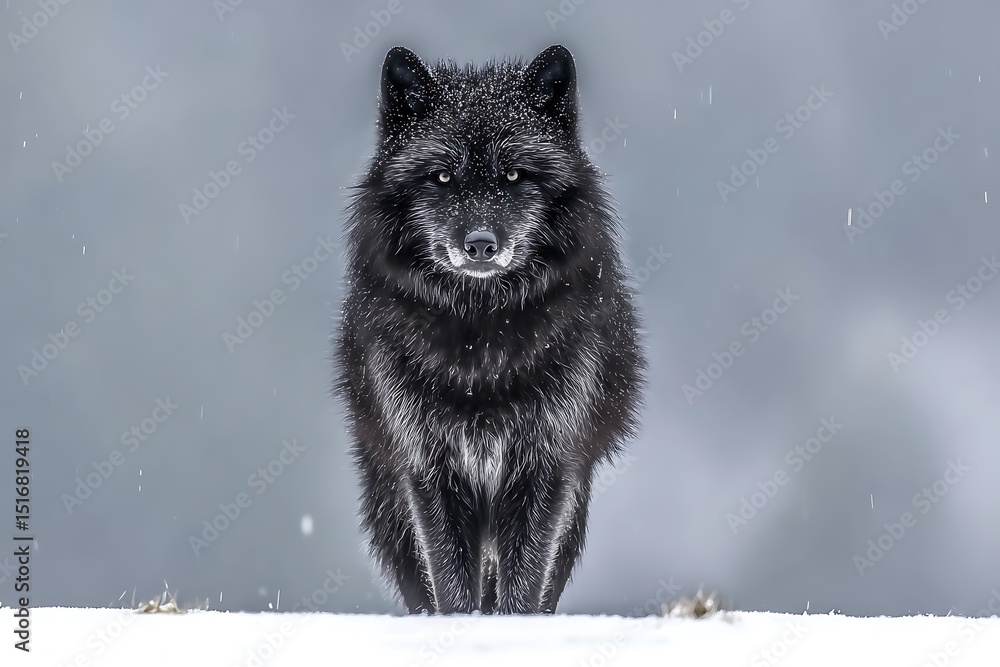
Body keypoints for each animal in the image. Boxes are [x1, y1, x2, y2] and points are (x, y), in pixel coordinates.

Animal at [334, 44, 644, 614]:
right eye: (442, 178)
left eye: (515, 176)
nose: (480, 244)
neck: (480, 340)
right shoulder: (429, 469)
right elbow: (451, 582)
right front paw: (462, 627)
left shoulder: (546, 466)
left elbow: (524, 585)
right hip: (389, 500)